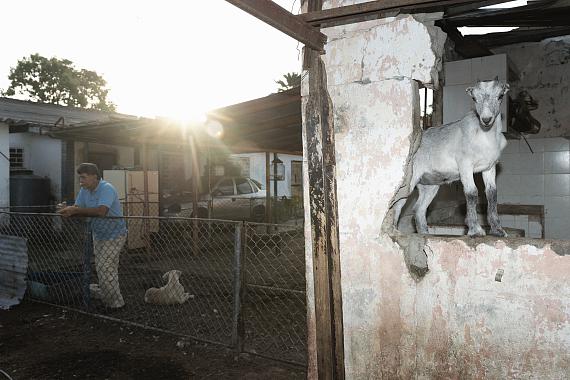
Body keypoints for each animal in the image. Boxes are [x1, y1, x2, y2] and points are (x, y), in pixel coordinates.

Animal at [392, 78, 508, 236]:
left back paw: (425, 233)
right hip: (410, 180)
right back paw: (393, 230)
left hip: (429, 185)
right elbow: (472, 192)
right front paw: (475, 230)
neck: (485, 136)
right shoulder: (465, 165)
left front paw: (498, 230)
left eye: (500, 95)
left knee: (419, 209)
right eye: (474, 98)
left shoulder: (489, 167)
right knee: (397, 204)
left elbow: (491, 194)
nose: (486, 119)